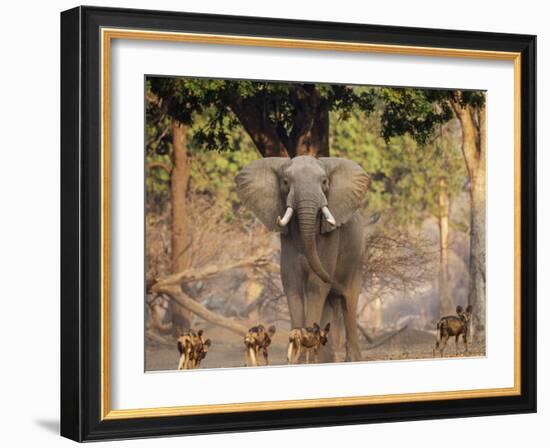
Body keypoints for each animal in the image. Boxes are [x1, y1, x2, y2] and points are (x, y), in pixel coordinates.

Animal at [237, 156, 370, 362]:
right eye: (285, 182)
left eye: (324, 182)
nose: (332, 278)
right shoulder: (287, 240)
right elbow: (292, 283)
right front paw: (296, 356)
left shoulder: (331, 238)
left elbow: (316, 286)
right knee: (331, 301)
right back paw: (325, 358)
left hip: (357, 259)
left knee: (349, 301)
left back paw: (352, 359)